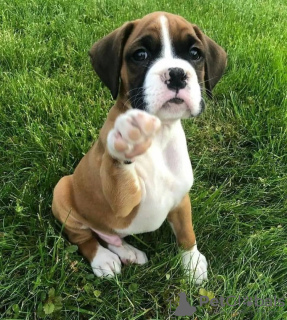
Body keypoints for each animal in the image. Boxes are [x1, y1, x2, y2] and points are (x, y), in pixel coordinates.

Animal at [51, 11, 227, 284]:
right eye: (141, 55)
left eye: (195, 53)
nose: (177, 74)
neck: (161, 135)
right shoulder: (121, 203)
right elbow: (118, 169)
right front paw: (127, 139)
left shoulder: (181, 198)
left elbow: (186, 231)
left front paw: (192, 262)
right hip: (62, 191)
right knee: (84, 237)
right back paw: (103, 259)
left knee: (107, 236)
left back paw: (127, 252)